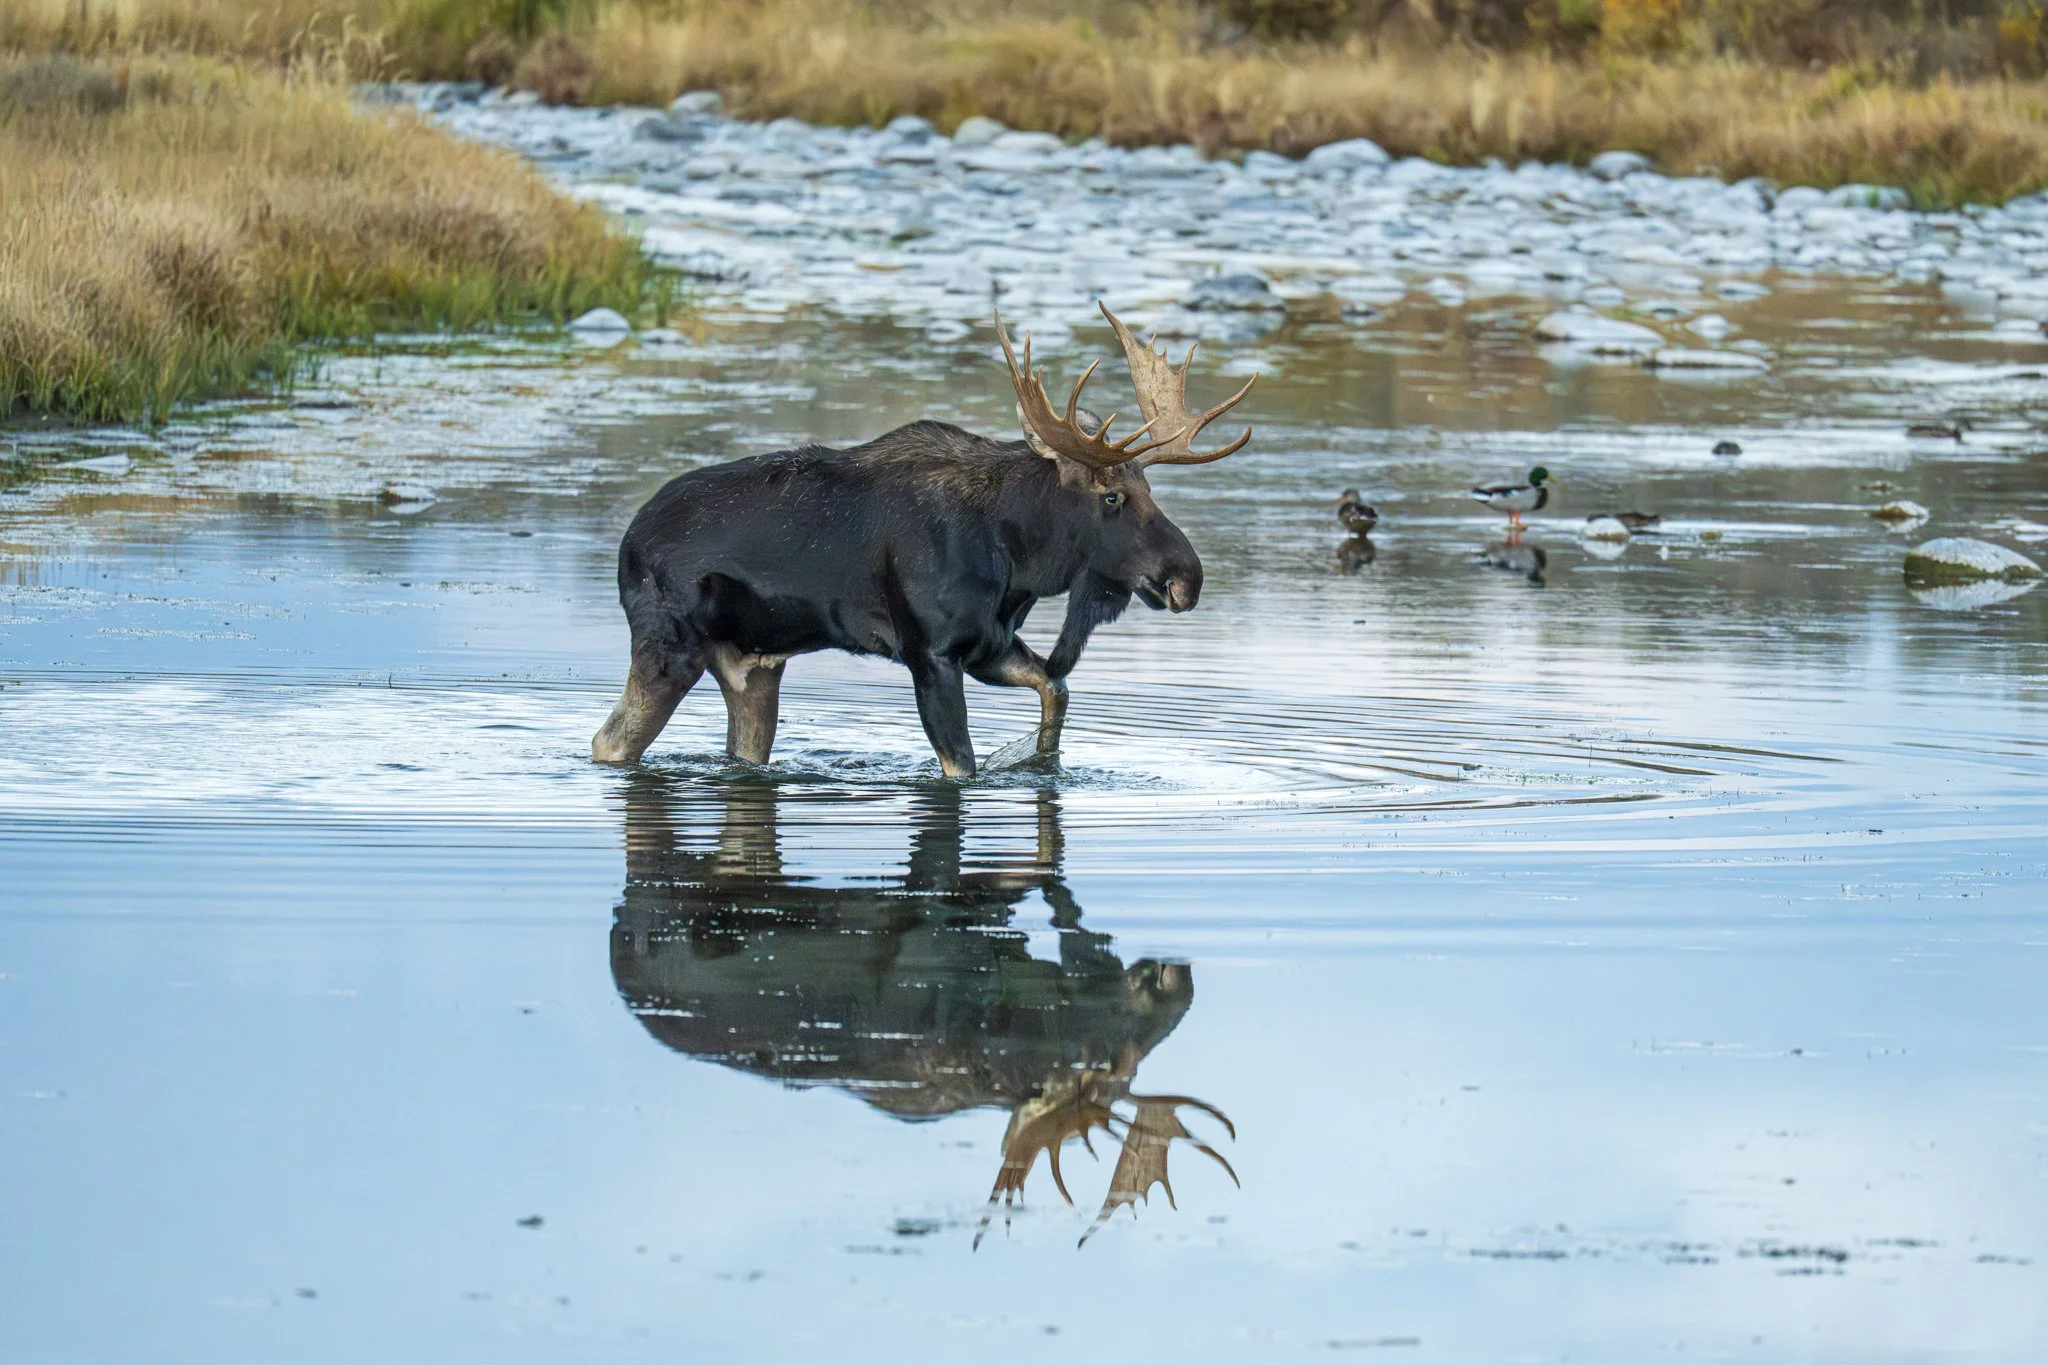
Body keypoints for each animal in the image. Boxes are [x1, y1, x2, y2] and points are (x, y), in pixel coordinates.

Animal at [591, 302, 1256, 777]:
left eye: (1149, 487)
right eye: (1113, 497)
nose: (1186, 578)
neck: (1018, 557)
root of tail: (628, 541)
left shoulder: (988, 645)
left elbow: (1057, 687)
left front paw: (1040, 760)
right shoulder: (930, 653)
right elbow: (961, 767)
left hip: (752, 667)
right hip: (670, 646)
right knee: (609, 743)